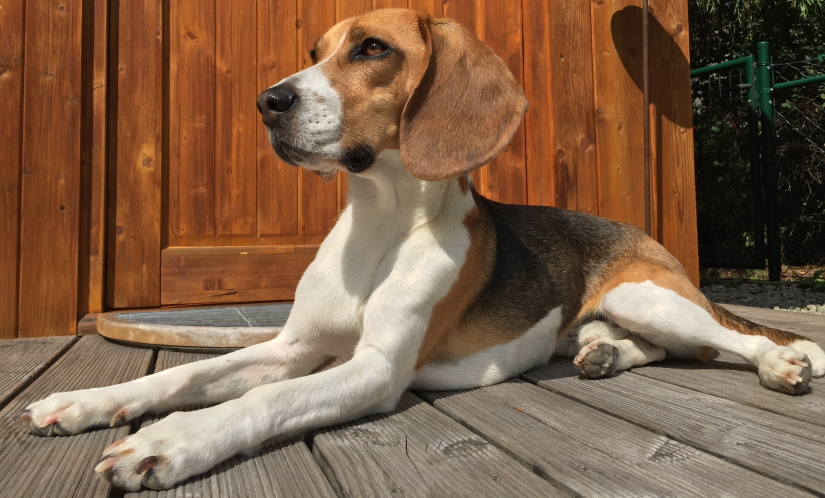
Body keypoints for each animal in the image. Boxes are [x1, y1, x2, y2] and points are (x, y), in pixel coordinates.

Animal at [17, 6, 824, 490]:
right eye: (314, 51)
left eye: (372, 49)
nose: (267, 102)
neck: (377, 225)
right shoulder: (291, 346)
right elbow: (184, 376)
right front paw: (90, 401)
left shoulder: (374, 370)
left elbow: (264, 400)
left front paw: (174, 442)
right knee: (651, 348)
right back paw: (602, 355)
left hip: (643, 293)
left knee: (734, 340)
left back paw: (780, 364)